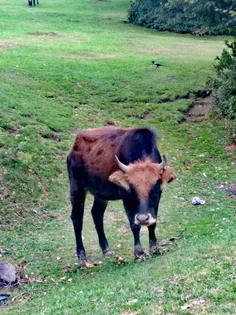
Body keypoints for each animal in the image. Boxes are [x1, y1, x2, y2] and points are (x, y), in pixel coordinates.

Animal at [67, 127, 177, 268]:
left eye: (155, 188)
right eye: (132, 189)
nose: (142, 218)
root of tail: (74, 147)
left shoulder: (157, 200)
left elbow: (153, 222)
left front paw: (155, 247)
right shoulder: (126, 198)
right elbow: (134, 225)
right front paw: (139, 252)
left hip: (101, 195)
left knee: (97, 214)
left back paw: (107, 250)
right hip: (77, 188)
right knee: (77, 218)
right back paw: (82, 257)